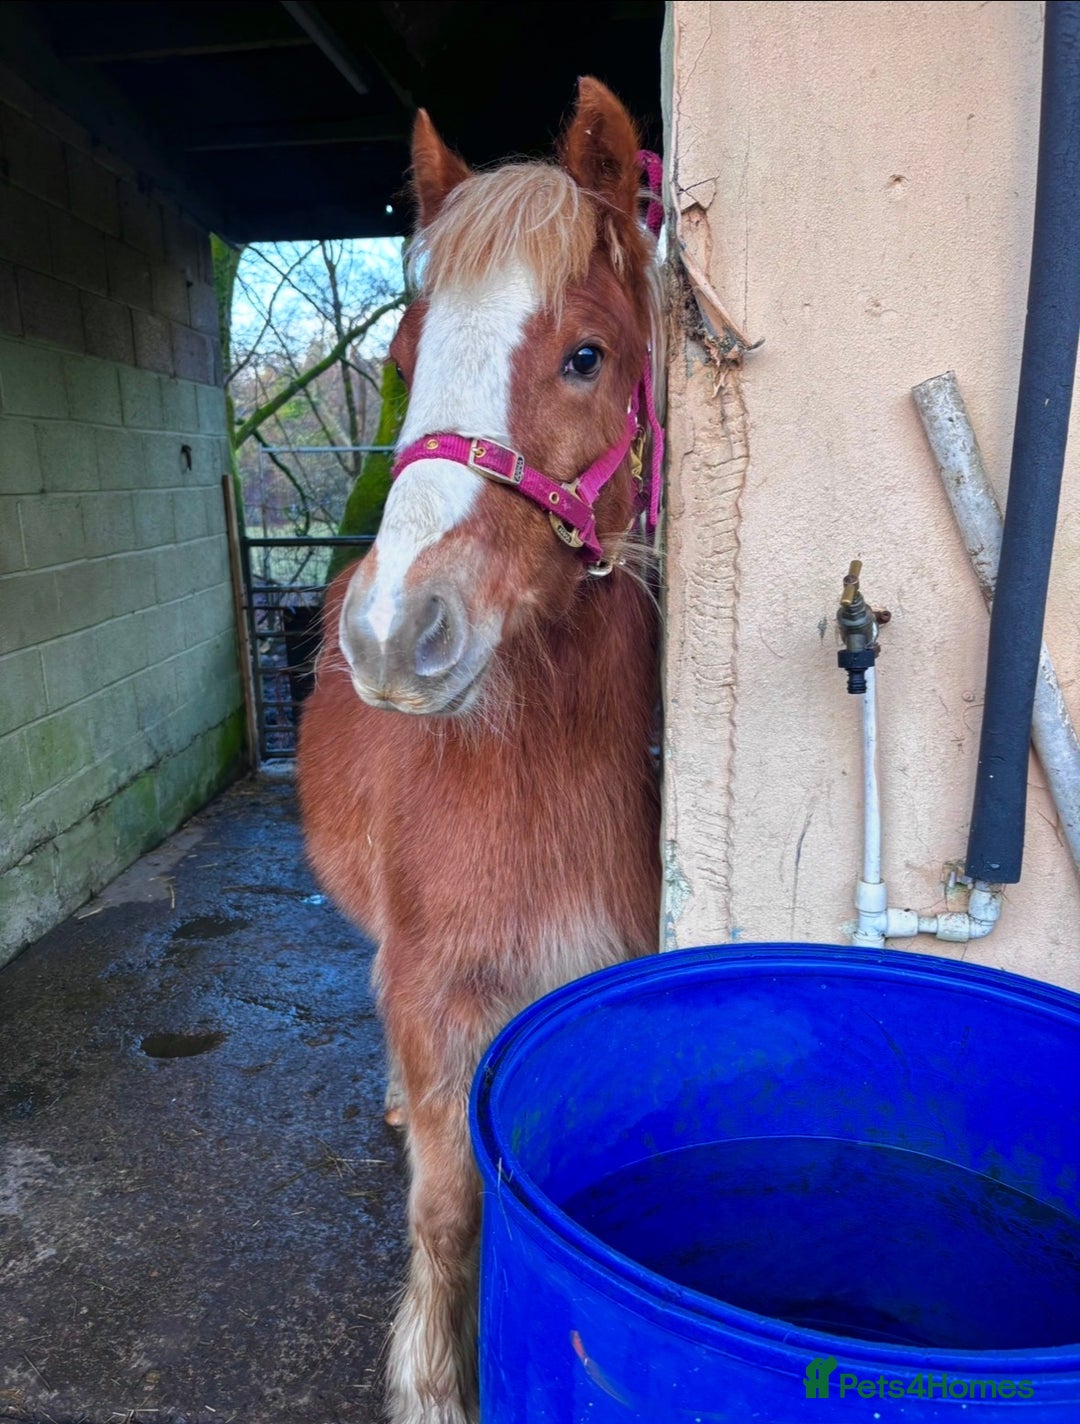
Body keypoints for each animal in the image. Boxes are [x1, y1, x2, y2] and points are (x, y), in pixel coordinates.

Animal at [296, 77, 664, 1424]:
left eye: (586, 355)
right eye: (404, 365)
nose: (392, 633)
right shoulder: (434, 987)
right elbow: (449, 1206)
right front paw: (436, 1383)